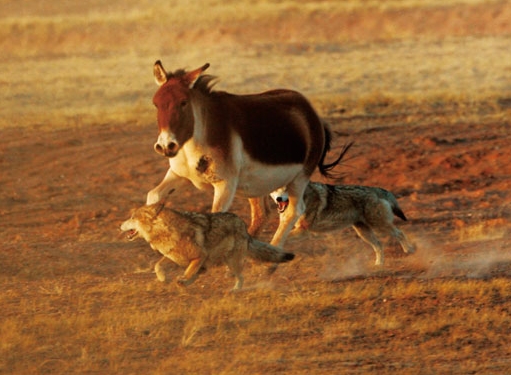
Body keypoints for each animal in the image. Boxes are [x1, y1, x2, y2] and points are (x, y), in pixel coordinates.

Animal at [121, 204, 296, 290]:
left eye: (132, 217)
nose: (120, 225)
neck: (164, 232)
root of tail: (244, 228)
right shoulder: (174, 255)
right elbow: (158, 265)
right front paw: (163, 278)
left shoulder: (200, 256)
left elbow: (189, 271)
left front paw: (182, 280)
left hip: (231, 262)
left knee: (240, 277)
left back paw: (235, 290)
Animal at [270, 183, 414, 268]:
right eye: (275, 190)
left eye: (286, 189)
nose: (279, 199)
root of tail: (375, 189)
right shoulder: (290, 227)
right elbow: (276, 237)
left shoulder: (302, 230)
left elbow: (278, 239)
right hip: (364, 232)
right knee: (379, 244)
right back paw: (378, 265)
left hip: (379, 226)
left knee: (400, 233)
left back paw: (409, 250)